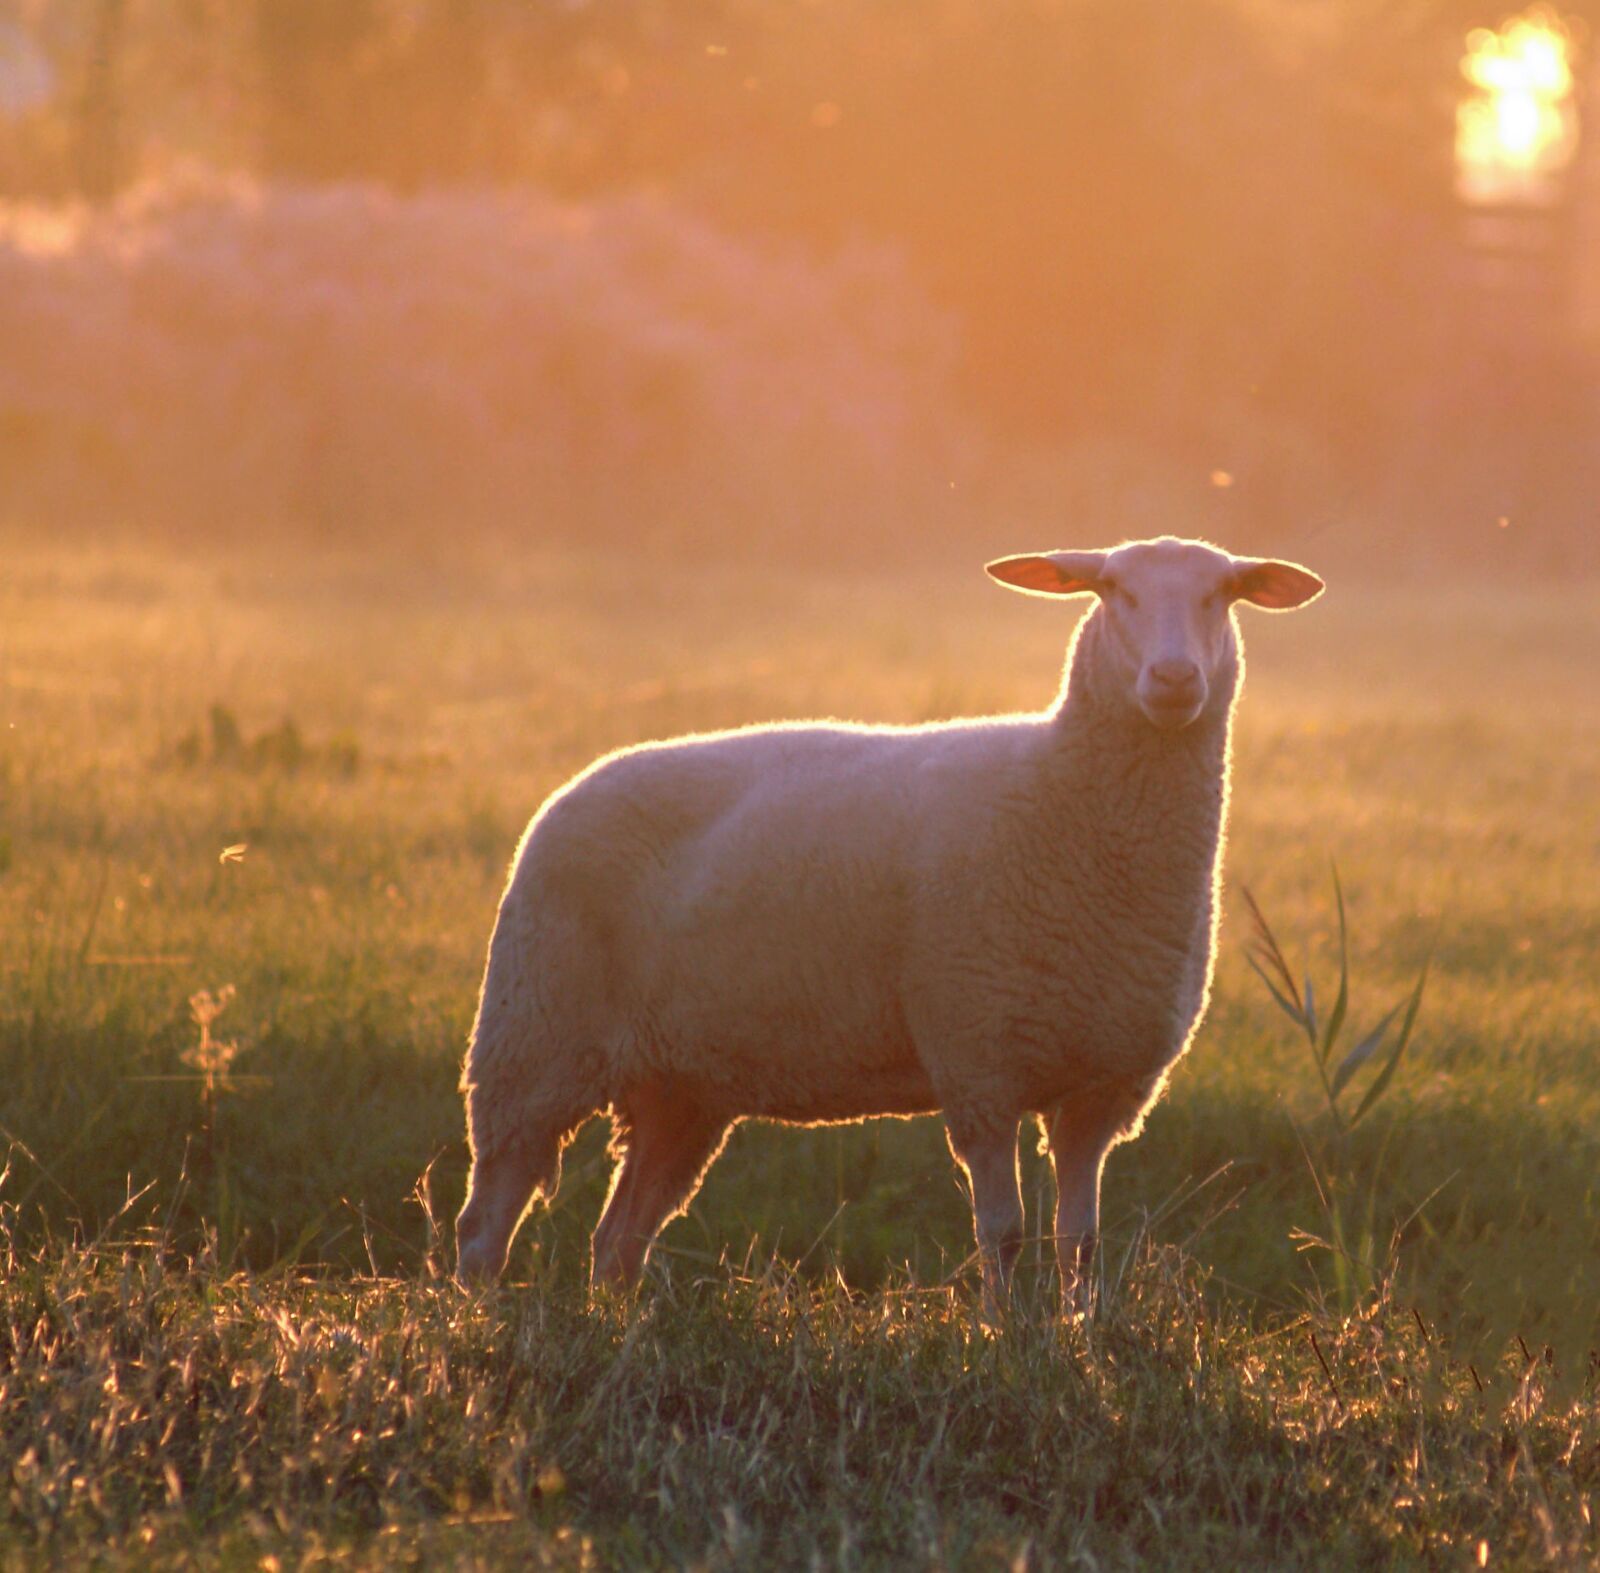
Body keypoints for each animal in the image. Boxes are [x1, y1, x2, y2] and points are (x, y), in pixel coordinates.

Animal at [454, 537, 1324, 1305]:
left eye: (1224, 593)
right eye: (1113, 590)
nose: (1174, 678)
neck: (1064, 799)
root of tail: (564, 796)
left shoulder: (1102, 1085)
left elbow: (1080, 1239)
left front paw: (1084, 1336)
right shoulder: (978, 1057)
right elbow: (1004, 1232)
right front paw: (1007, 1337)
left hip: (681, 1085)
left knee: (618, 1236)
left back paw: (618, 1329)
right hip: (534, 1037)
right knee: (487, 1215)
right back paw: (478, 1320)